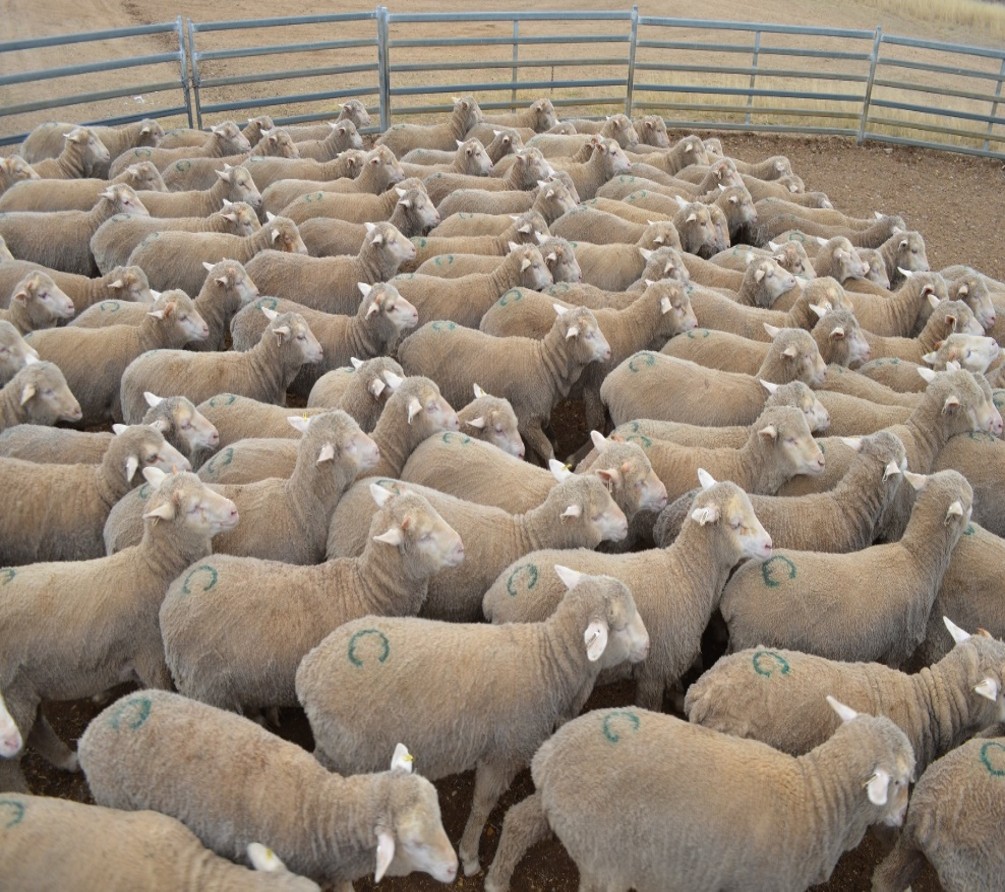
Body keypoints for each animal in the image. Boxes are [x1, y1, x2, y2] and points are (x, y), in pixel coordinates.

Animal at [297, 566, 649, 877]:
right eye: (620, 623)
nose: (647, 646)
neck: (546, 662)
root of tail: (308, 670)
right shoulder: (504, 752)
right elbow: (483, 804)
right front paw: (469, 857)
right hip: (345, 750)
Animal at [399, 305, 610, 464]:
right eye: (589, 334)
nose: (609, 351)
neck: (544, 364)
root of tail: (407, 343)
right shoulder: (528, 420)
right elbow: (547, 451)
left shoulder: (525, 420)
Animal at [482, 475, 772, 712]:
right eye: (736, 523)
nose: (770, 544)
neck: (686, 573)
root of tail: (494, 595)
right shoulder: (654, 670)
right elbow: (649, 706)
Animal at [482, 701, 914, 892]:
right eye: (900, 782)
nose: (903, 818)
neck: (814, 798)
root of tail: (549, 757)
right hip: (602, 857)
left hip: (556, 807)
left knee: (518, 821)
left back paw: (496, 880)